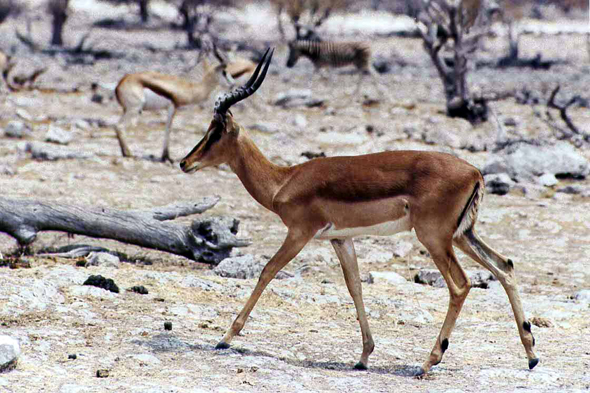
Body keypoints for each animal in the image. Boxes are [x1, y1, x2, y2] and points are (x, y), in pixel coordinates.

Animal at [179, 50, 540, 376]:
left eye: (215, 131)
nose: (184, 162)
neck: (284, 181)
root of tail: (475, 172)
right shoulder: (341, 239)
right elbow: (355, 286)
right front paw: (364, 356)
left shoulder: (299, 233)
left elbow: (267, 271)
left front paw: (225, 337)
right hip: (463, 235)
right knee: (504, 266)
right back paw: (531, 355)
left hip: (435, 238)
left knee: (461, 285)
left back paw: (428, 362)